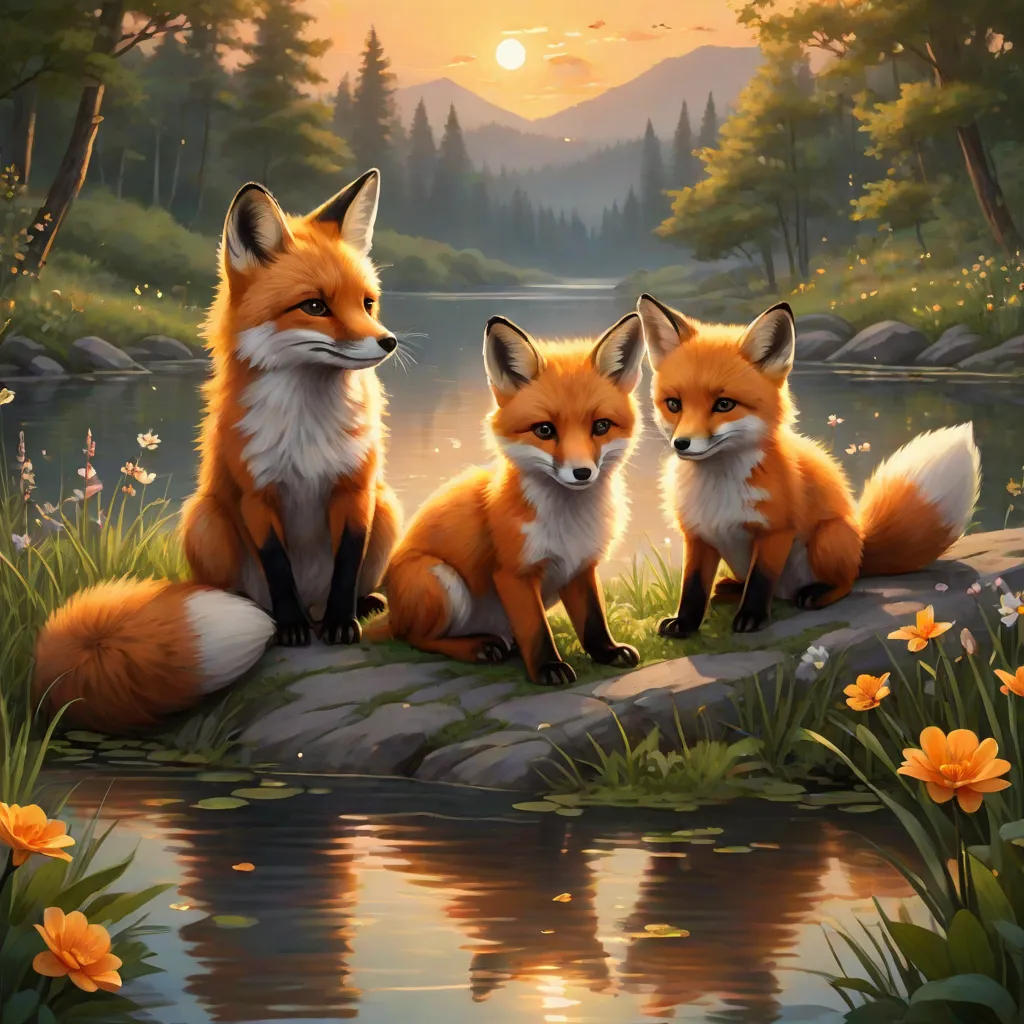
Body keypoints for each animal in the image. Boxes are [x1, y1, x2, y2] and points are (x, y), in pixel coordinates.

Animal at [32, 169, 403, 732]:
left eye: (367, 303)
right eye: (315, 306)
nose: (389, 342)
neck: (306, 427)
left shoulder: (355, 488)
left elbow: (345, 562)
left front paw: (343, 622)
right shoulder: (255, 494)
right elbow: (277, 566)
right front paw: (290, 628)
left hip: (388, 507)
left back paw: (359, 606)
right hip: (204, 520)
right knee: (249, 595)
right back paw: (274, 618)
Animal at [366, 313, 645, 686]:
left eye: (601, 426)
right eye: (544, 430)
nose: (582, 472)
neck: (568, 524)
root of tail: (393, 613)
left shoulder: (580, 568)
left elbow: (593, 621)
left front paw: (608, 653)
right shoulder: (514, 574)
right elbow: (536, 630)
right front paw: (548, 668)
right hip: (439, 580)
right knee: (416, 638)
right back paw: (478, 647)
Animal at [635, 292, 981, 638]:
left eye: (724, 405)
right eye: (674, 404)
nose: (681, 444)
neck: (719, 488)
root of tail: (861, 545)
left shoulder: (776, 531)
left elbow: (761, 581)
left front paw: (751, 618)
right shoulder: (698, 534)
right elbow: (693, 587)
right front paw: (684, 624)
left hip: (828, 538)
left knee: (844, 583)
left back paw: (817, 593)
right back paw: (730, 588)